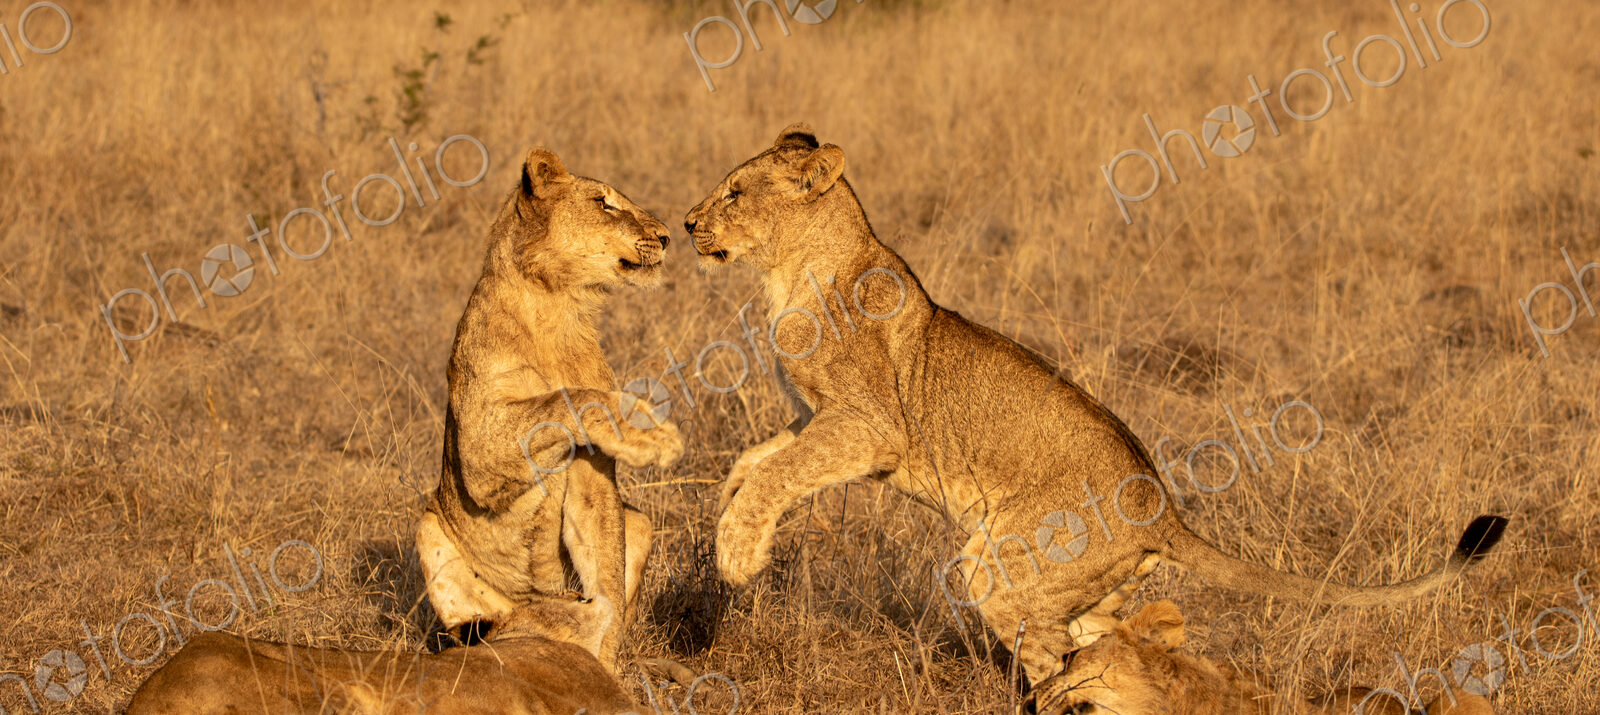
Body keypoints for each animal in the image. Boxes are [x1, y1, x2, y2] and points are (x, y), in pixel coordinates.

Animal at [418, 147, 683, 673]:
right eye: (604, 204)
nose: (666, 235)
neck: (558, 305)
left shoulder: (593, 470)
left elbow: (606, 571)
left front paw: (603, 662)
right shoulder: (478, 444)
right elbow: (562, 397)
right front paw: (647, 431)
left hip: (640, 524)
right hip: (428, 524)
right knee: (489, 624)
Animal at [682, 123, 1509, 685]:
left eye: (735, 192)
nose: (687, 223)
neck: (789, 270)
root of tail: (1163, 512)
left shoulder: (871, 427)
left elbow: (783, 472)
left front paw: (737, 553)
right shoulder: (814, 415)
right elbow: (760, 457)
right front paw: (725, 506)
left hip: (1001, 564)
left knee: (1053, 652)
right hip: (1074, 582)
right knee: (1114, 632)